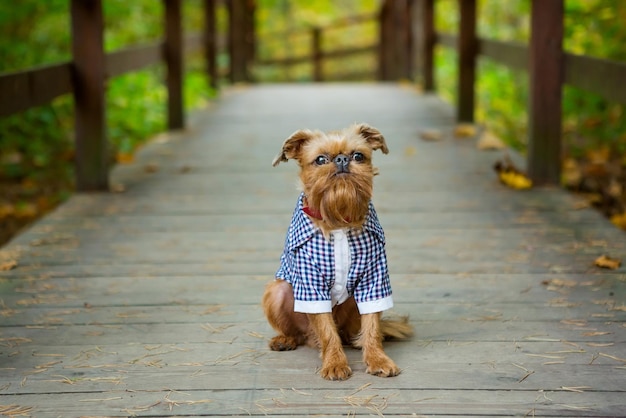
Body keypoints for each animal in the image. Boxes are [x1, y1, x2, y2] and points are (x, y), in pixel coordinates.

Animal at [260, 122, 412, 380]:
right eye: (320, 160)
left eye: (358, 155)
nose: (341, 159)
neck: (338, 219)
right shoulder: (311, 287)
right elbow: (327, 330)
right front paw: (334, 363)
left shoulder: (374, 281)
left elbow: (372, 324)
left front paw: (377, 358)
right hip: (278, 290)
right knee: (304, 333)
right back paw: (285, 340)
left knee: (353, 332)